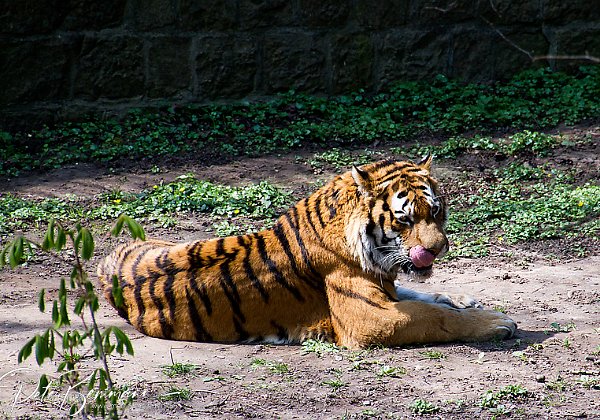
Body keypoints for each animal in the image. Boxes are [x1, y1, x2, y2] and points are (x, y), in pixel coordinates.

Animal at [97, 157, 516, 348]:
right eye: (405, 219)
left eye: (437, 211)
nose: (438, 248)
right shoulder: (368, 318)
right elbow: (433, 317)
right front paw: (496, 322)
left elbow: (425, 296)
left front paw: (464, 300)